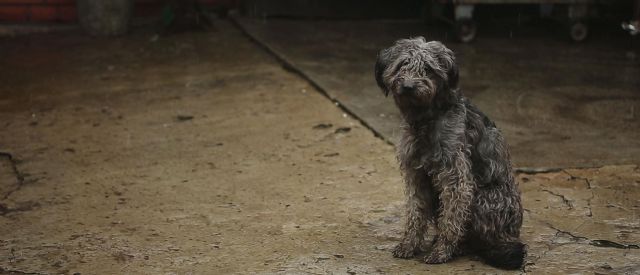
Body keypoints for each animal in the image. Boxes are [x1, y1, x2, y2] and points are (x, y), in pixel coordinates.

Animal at [376, 37, 524, 270]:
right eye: (402, 65)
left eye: (428, 69)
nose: (408, 86)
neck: (427, 119)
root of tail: (511, 236)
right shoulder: (416, 175)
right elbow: (415, 213)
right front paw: (409, 245)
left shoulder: (456, 179)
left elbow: (452, 220)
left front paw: (441, 251)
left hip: (482, 198)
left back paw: (460, 247)